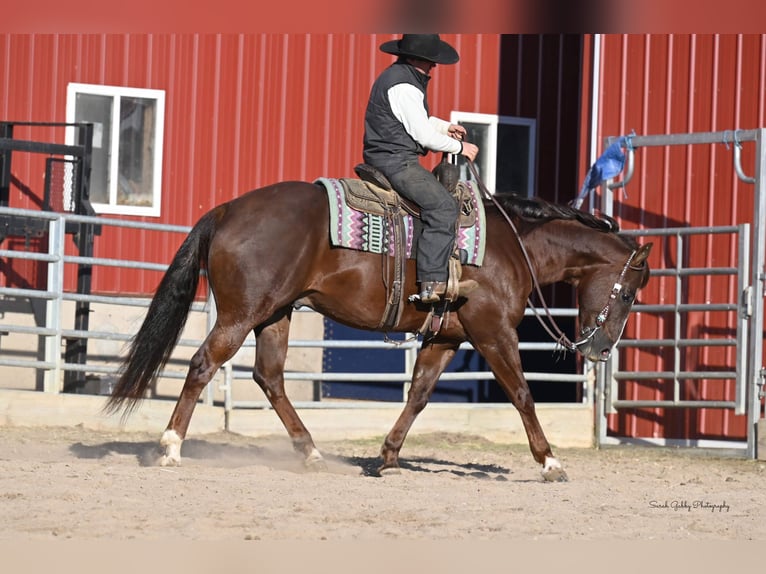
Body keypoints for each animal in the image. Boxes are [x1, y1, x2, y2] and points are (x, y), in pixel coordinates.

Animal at [103, 179, 656, 482]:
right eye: (630, 292)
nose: (601, 348)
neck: (510, 246)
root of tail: (227, 209)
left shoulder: (446, 337)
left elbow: (419, 394)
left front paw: (387, 456)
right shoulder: (492, 331)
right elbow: (521, 393)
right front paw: (549, 462)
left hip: (276, 315)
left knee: (270, 378)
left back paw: (311, 452)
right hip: (241, 314)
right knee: (203, 365)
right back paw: (171, 447)